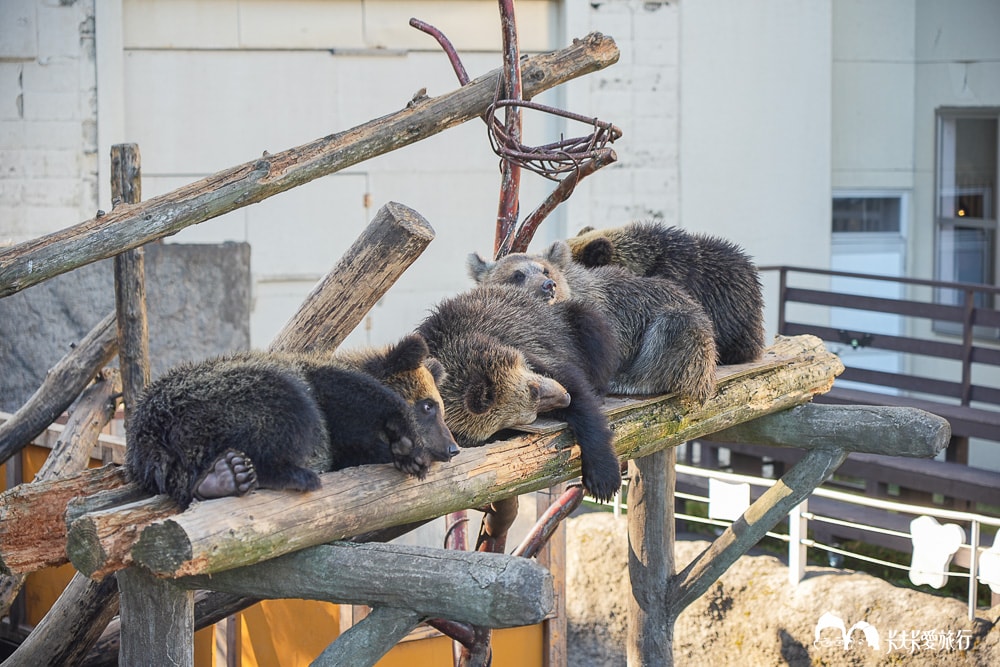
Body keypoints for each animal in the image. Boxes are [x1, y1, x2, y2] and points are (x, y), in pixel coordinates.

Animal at [125, 334, 459, 508]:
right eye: (428, 406)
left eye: (440, 408)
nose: (452, 448)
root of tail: (154, 438)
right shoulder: (323, 384)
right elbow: (358, 394)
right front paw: (409, 449)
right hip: (223, 398)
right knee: (291, 409)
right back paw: (286, 475)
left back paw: (222, 477)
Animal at [416, 284, 624, 502]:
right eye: (530, 416)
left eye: (534, 390)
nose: (564, 397)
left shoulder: (535, 349)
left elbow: (582, 401)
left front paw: (603, 477)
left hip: (571, 322)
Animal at [468, 241, 718, 402]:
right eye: (517, 274)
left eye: (545, 271)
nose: (548, 286)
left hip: (683, 326)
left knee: (667, 337)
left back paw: (626, 380)